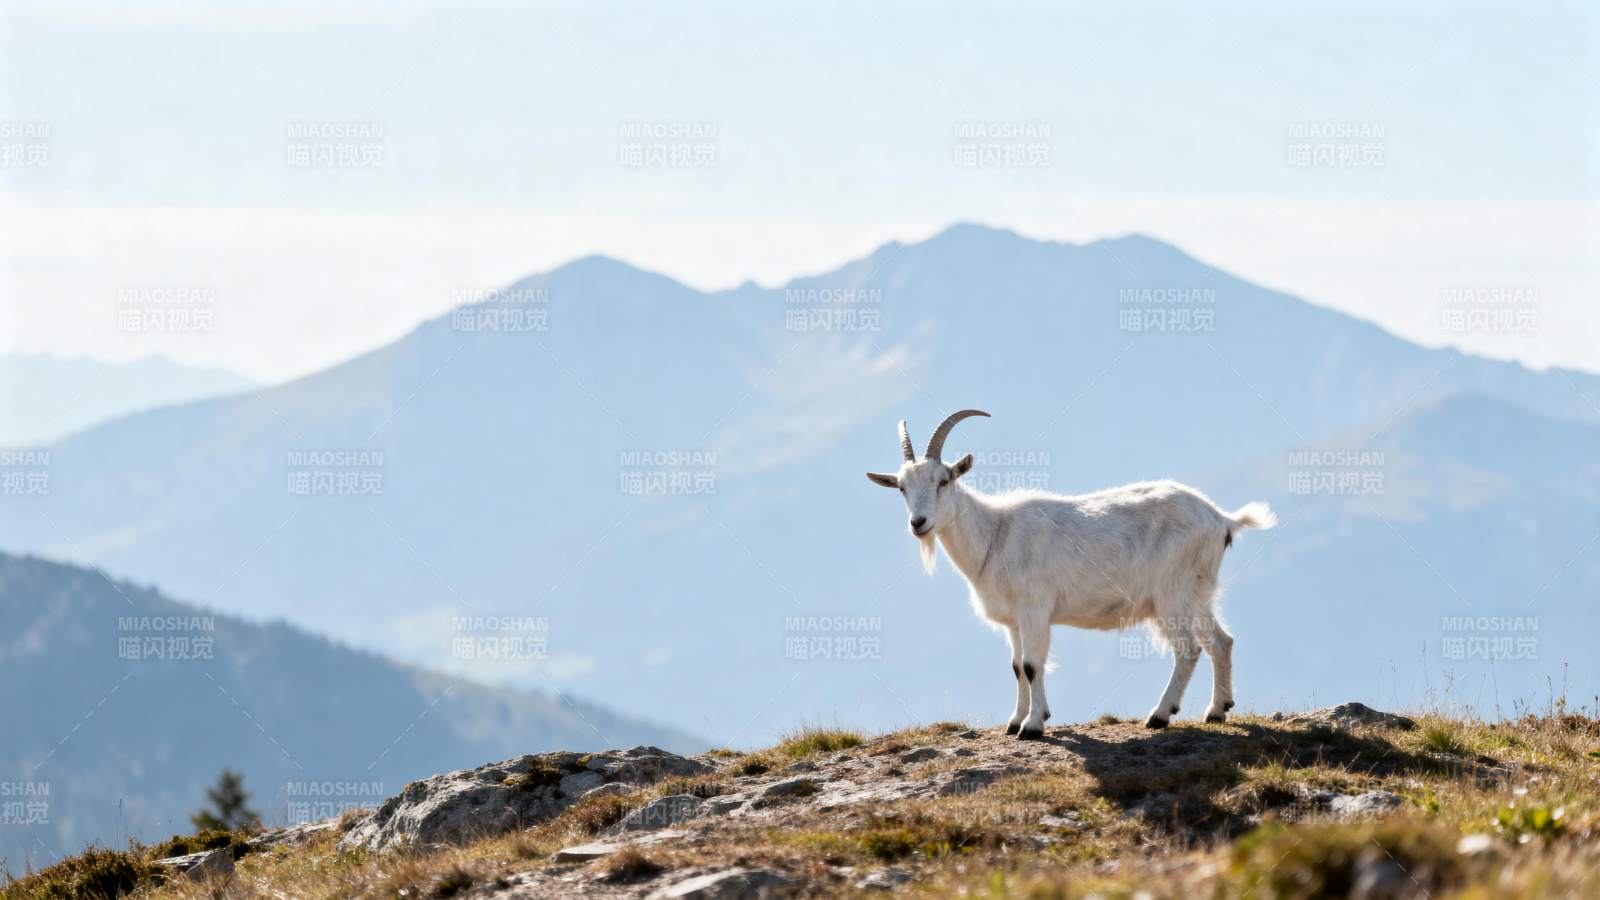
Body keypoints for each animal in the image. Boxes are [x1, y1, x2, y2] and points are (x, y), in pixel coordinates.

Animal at [866, 410, 1275, 738]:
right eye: (901, 487)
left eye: (943, 480)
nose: (919, 523)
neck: (995, 533)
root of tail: (1221, 519)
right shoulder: (1014, 620)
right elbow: (1016, 667)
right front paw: (1015, 721)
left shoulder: (1035, 609)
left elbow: (1032, 665)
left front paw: (1032, 727)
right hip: (1198, 592)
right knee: (1221, 641)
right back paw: (1217, 711)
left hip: (1171, 594)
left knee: (1189, 649)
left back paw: (1159, 715)